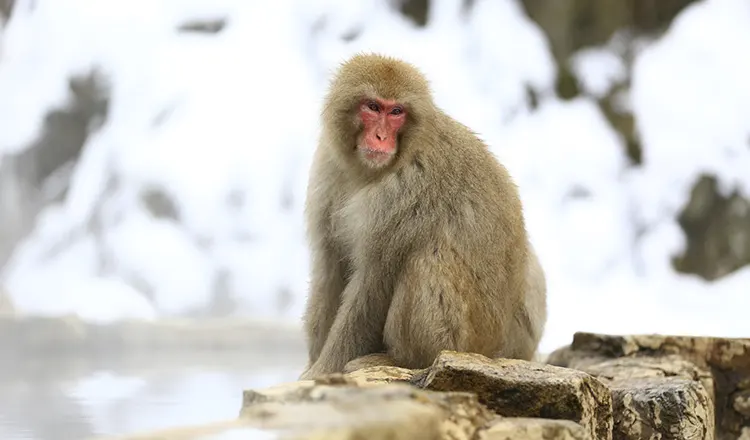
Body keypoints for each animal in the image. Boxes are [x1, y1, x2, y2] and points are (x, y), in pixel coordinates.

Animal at [299, 53, 547, 380]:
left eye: (397, 111)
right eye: (373, 106)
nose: (380, 136)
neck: (367, 172)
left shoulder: (405, 191)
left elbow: (374, 284)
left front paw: (322, 371)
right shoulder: (329, 169)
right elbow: (329, 267)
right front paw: (312, 366)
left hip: (465, 340)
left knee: (426, 258)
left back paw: (402, 360)